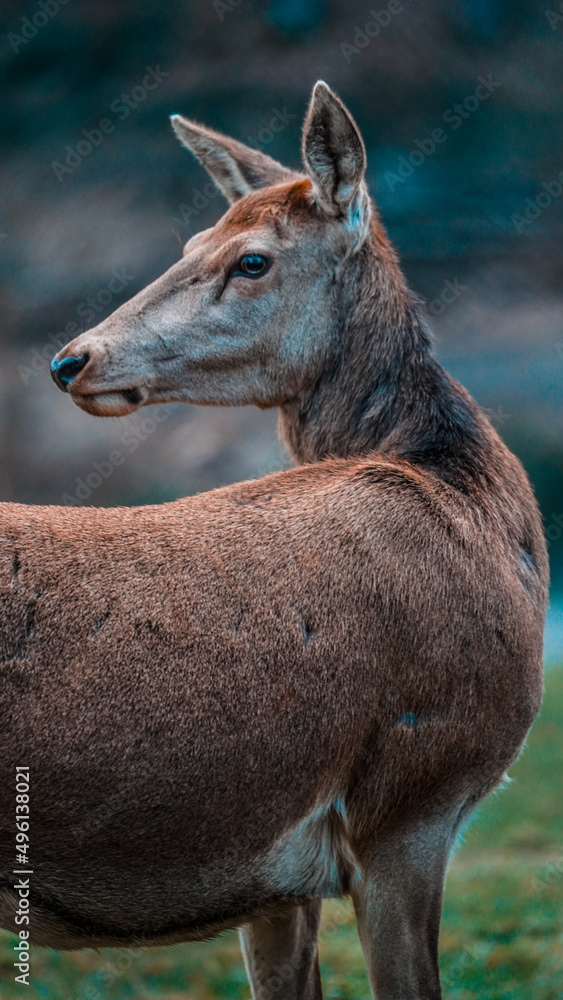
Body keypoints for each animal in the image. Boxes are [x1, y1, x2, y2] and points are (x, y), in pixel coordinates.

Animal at [0, 82, 548, 1000]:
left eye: (249, 259)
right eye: (191, 242)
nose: (73, 360)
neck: (469, 497)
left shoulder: (279, 872)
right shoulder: (416, 796)